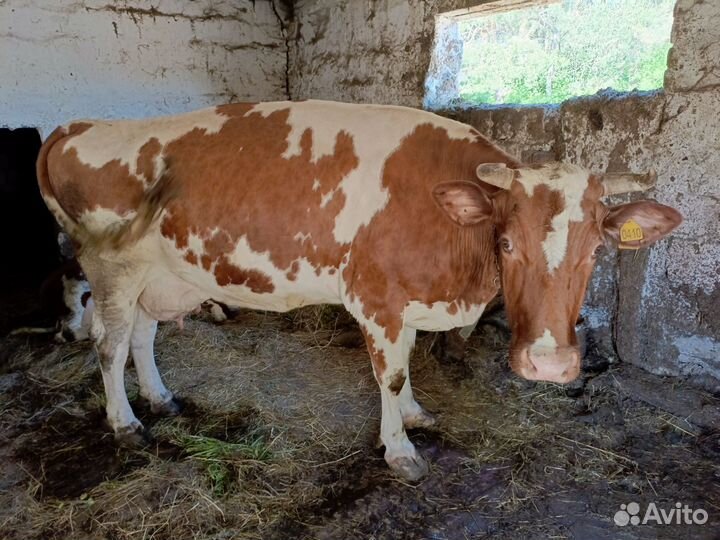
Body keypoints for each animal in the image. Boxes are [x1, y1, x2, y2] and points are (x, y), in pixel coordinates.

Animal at [36, 100, 681, 480]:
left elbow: (409, 366)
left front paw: (416, 414)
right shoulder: (378, 299)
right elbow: (389, 375)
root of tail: (80, 125)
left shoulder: (408, 302)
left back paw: (160, 398)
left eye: (596, 251)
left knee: (143, 337)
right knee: (109, 345)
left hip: (163, 275)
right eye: (505, 243)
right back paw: (126, 424)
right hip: (112, 268)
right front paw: (399, 449)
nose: (548, 364)